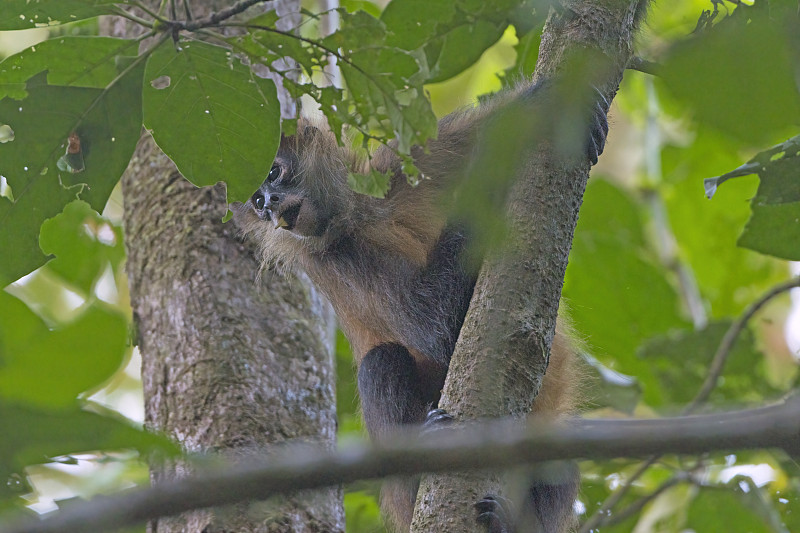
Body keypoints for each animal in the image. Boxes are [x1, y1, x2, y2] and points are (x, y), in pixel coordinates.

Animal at [234, 77, 608, 528]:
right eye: (256, 201)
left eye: (273, 172)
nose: (270, 205)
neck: (363, 214)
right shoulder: (335, 257)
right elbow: (438, 330)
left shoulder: (404, 164)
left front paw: (545, 105)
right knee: (381, 361)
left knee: (560, 461)